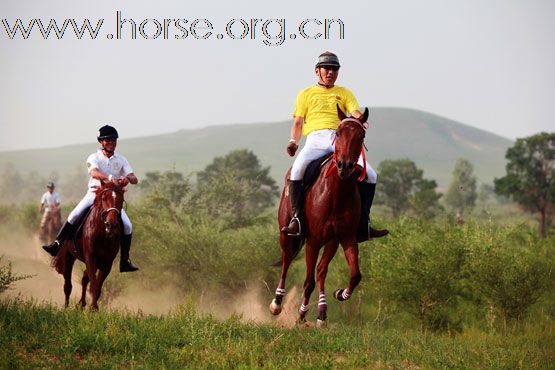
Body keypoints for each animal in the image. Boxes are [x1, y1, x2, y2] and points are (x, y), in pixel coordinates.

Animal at [51, 181, 124, 310]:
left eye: (121, 199)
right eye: (104, 198)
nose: (112, 225)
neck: (103, 234)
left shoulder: (107, 264)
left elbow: (97, 286)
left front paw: (92, 307)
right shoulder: (90, 258)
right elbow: (94, 284)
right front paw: (94, 308)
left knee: (84, 278)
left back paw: (81, 303)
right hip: (68, 257)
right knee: (68, 285)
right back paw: (66, 307)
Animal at [270, 105, 370, 326]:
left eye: (362, 135)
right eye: (338, 133)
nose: (345, 166)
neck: (337, 193)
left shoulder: (345, 237)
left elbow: (355, 275)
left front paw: (340, 294)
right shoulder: (313, 240)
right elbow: (308, 281)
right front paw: (301, 315)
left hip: (330, 242)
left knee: (321, 270)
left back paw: (322, 311)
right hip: (287, 234)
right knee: (287, 259)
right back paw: (277, 302)